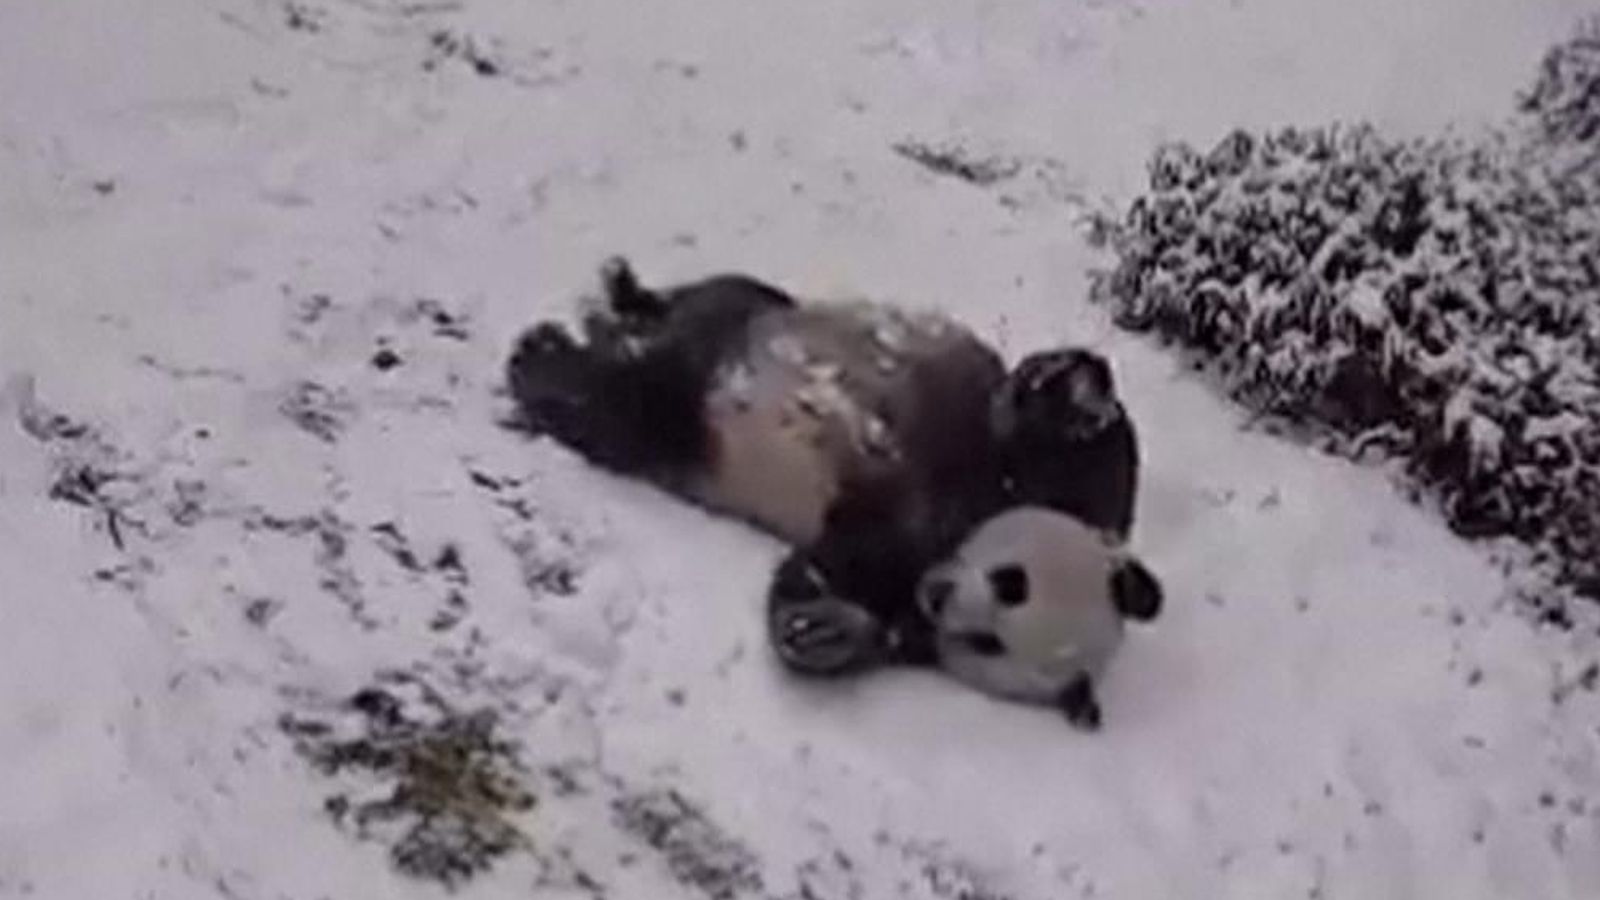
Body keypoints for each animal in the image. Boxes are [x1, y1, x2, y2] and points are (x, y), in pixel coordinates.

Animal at [505, 256, 1143, 680]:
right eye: (1049, 371)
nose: (1088, 370)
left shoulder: (924, 537)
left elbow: (852, 570)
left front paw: (823, 628)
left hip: (682, 425)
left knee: (628, 410)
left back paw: (551, 356)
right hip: (741, 319)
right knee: (709, 312)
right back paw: (596, 316)